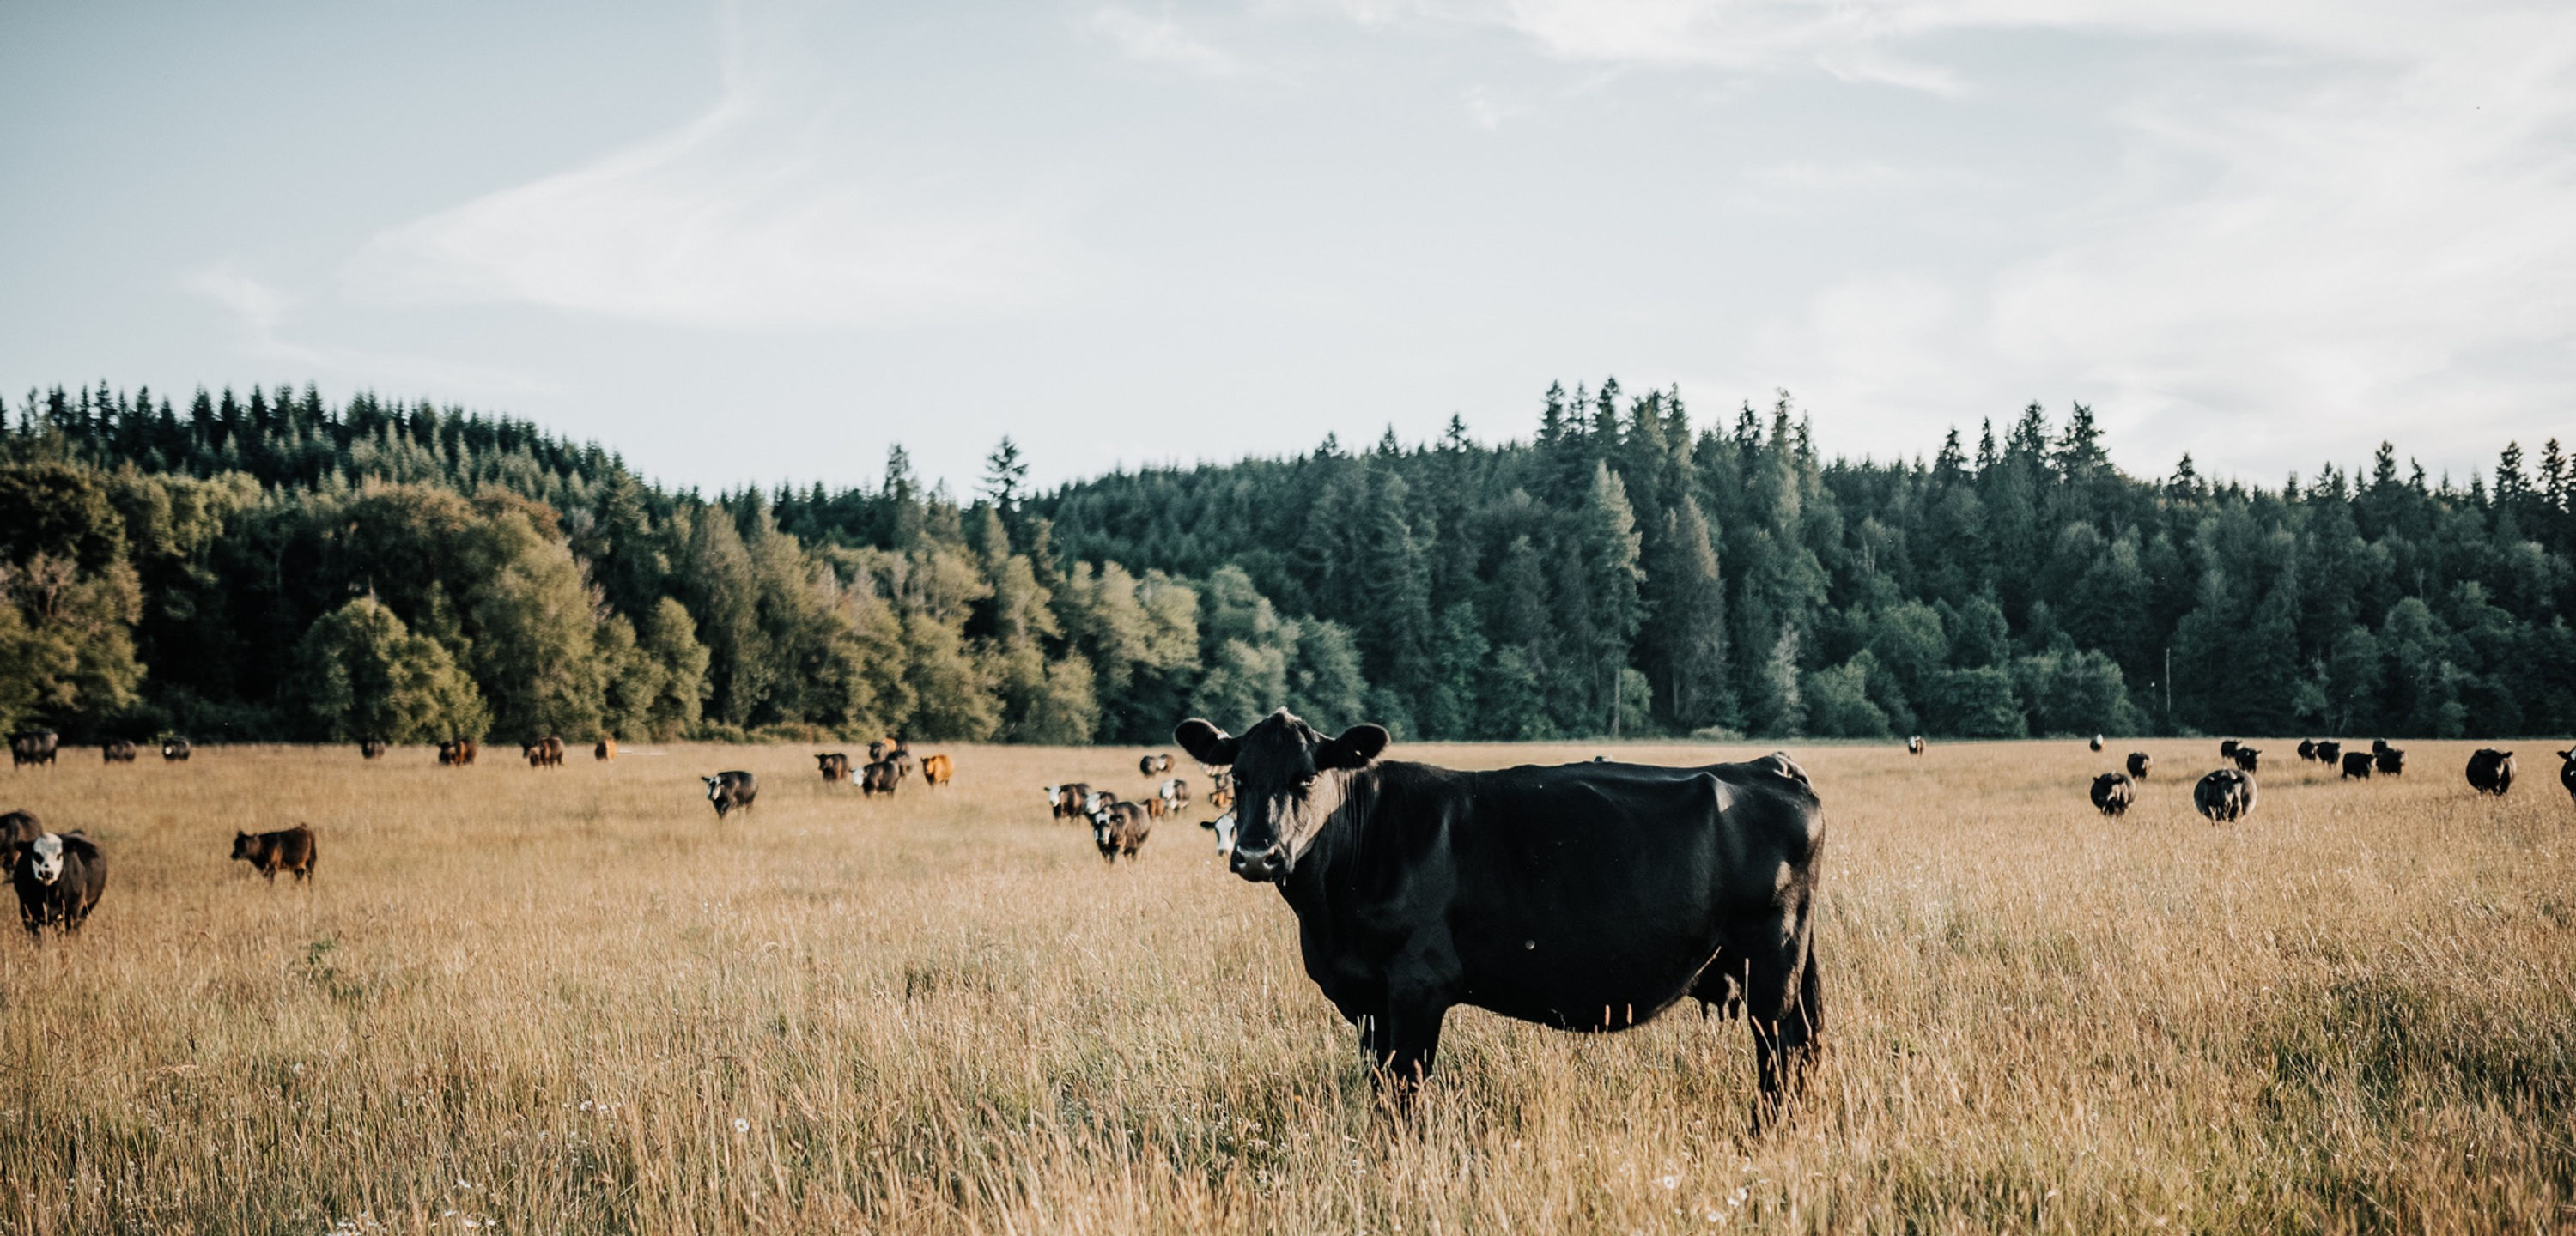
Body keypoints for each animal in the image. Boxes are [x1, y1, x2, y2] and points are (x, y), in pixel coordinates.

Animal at [12, 831, 104, 941]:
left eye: (59, 855)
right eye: (36, 855)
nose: (46, 873)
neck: (50, 894)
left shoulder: (72, 911)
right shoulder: (26, 910)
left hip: (88, 907)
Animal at [1176, 709, 1826, 1116]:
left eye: (1307, 777)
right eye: (1238, 777)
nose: (1255, 853)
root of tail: (1769, 764)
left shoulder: (1419, 985)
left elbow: (1404, 1091)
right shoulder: (1366, 1001)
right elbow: (1381, 1083)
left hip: (1772, 957)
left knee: (1783, 1052)